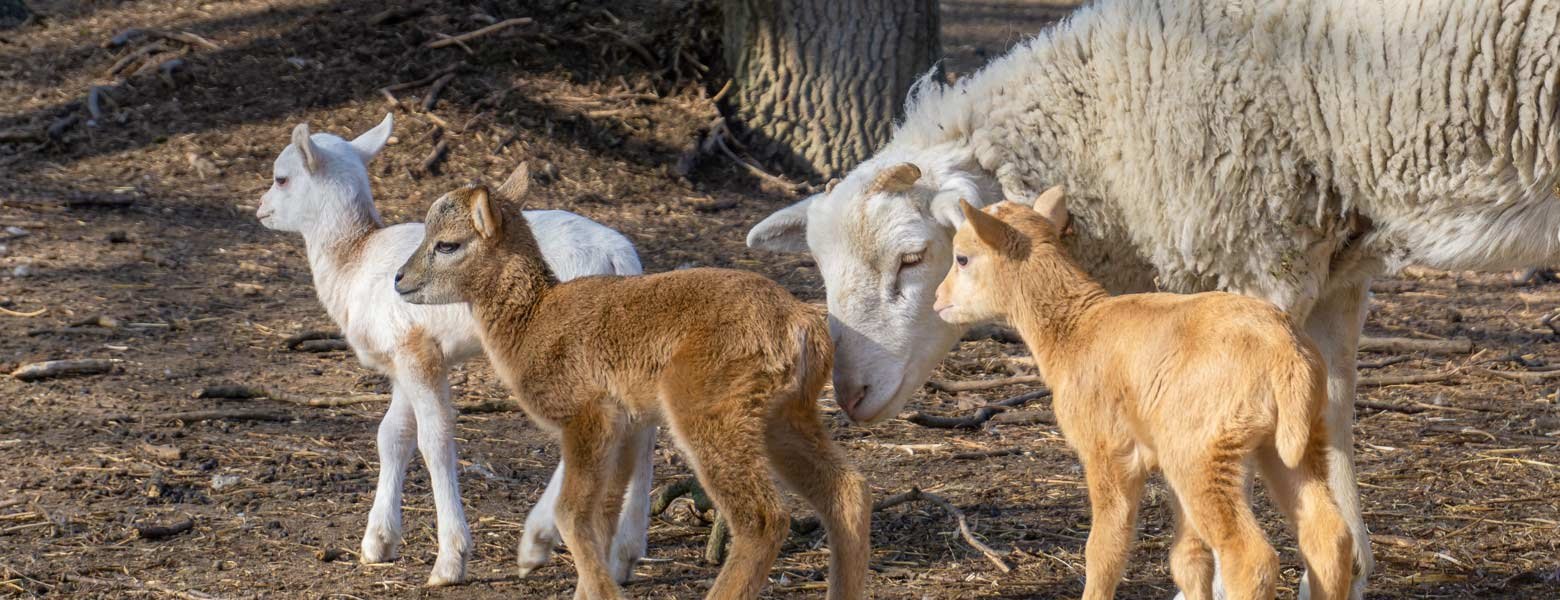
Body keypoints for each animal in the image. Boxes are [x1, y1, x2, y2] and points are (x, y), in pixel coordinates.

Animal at [254, 113, 652, 585]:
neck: (352, 260)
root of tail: (618, 255)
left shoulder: (415, 352)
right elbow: (392, 435)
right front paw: (378, 542)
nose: (260, 209)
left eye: (281, 177)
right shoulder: (404, 354)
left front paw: (450, 559)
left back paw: (538, 540)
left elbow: (434, 439)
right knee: (642, 426)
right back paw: (625, 553)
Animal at [390, 165, 873, 598]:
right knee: (848, 489)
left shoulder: (588, 413)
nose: (400, 278)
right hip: (786, 413)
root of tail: (802, 325)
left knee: (763, 517)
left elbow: (572, 513)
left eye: (447, 244)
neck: (534, 323)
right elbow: (603, 512)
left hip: (709, 410)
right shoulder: (626, 423)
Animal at [935, 190, 1354, 598]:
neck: (1074, 330)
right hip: (1292, 438)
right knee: (1328, 537)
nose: (938, 300)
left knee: (1249, 558)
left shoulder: (1106, 450)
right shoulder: (1162, 461)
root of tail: (1285, 351)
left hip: (1202, 451)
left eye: (962, 258)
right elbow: (1189, 559)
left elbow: (1105, 550)